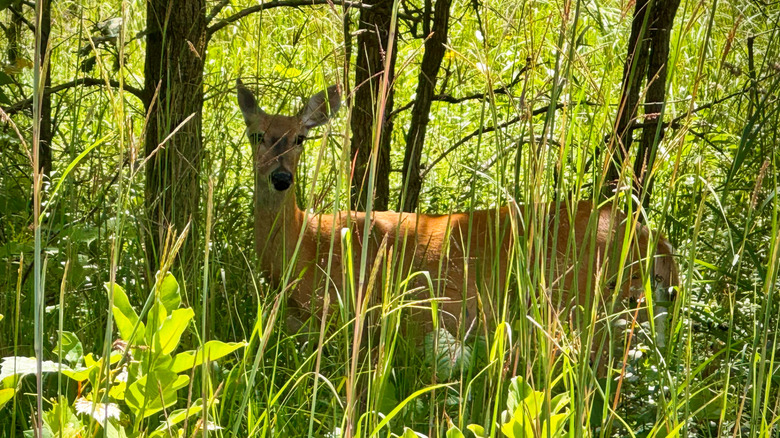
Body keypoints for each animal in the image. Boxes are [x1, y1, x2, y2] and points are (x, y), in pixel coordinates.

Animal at [236, 79, 679, 358]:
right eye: (256, 135)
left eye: (300, 138)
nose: (281, 178)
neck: (306, 245)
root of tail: (652, 238)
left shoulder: (355, 308)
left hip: (580, 300)